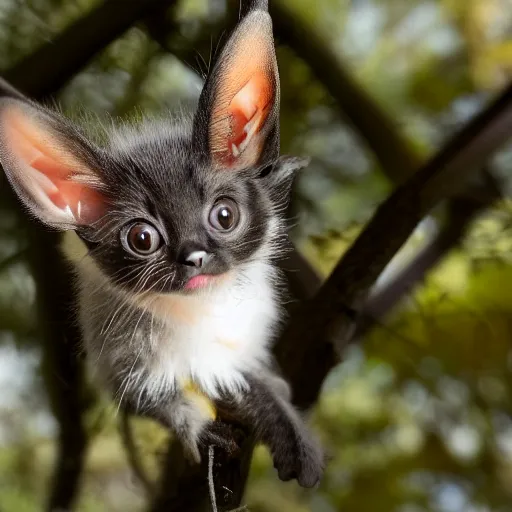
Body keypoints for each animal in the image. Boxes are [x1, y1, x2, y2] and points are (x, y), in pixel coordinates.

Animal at [0, 0, 324, 488]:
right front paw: (199, 428)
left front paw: (288, 428)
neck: (200, 314)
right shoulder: (117, 359)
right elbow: (155, 400)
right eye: (142, 238)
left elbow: (255, 380)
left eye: (224, 216)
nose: (195, 256)